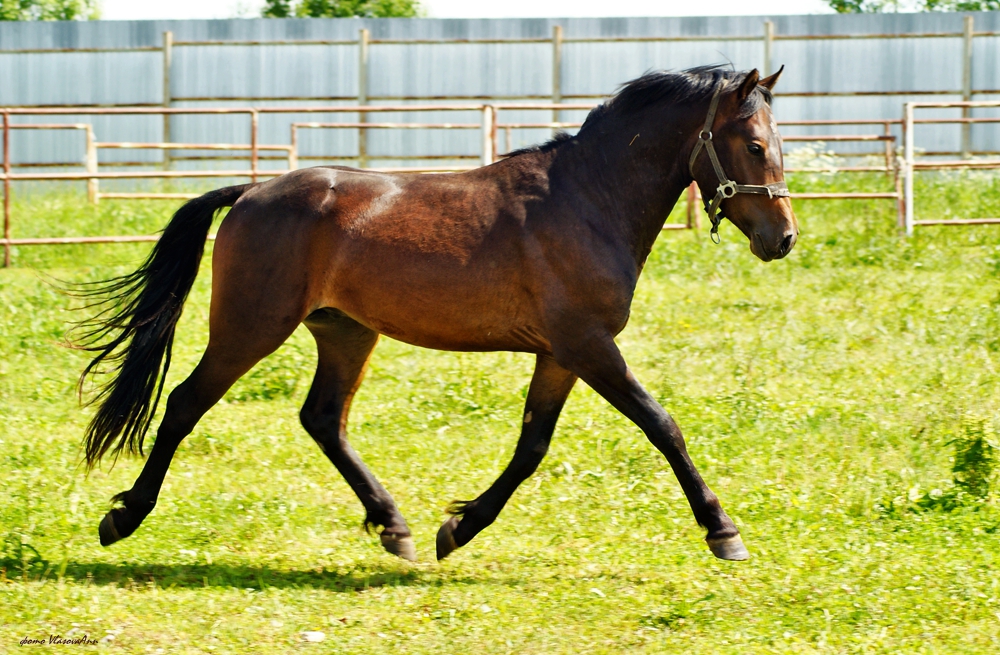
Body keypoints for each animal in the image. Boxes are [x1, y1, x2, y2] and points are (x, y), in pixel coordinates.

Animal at [74, 64, 797, 563]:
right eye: (755, 145)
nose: (783, 238)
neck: (587, 199)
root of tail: (252, 191)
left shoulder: (560, 353)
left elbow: (532, 446)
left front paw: (459, 526)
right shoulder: (588, 345)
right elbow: (662, 425)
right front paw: (723, 530)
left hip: (345, 332)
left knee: (322, 419)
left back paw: (394, 525)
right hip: (250, 327)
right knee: (183, 404)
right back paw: (124, 516)